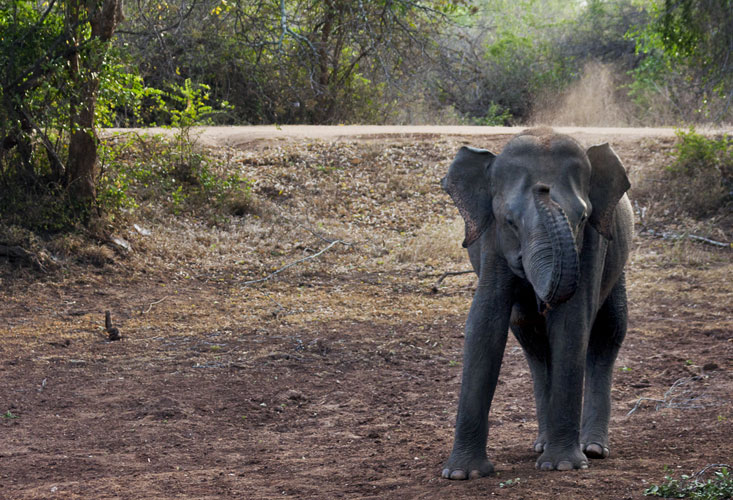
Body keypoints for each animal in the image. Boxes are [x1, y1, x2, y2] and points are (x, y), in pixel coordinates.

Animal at [440, 128, 636, 476]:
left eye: (583, 217)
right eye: (509, 221)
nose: (543, 188)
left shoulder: (592, 242)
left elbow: (572, 324)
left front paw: (563, 466)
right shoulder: (491, 238)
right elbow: (485, 323)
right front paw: (463, 474)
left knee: (608, 331)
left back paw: (593, 448)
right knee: (531, 340)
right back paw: (543, 445)